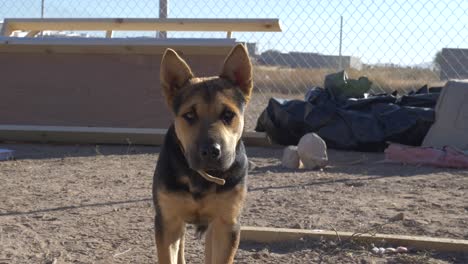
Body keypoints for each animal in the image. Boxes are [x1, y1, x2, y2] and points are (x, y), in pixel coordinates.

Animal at [153, 44, 252, 262]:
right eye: (189, 115)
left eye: (228, 114)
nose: (210, 151)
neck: (202, 177)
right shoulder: (168, 220)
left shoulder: (226, 222)